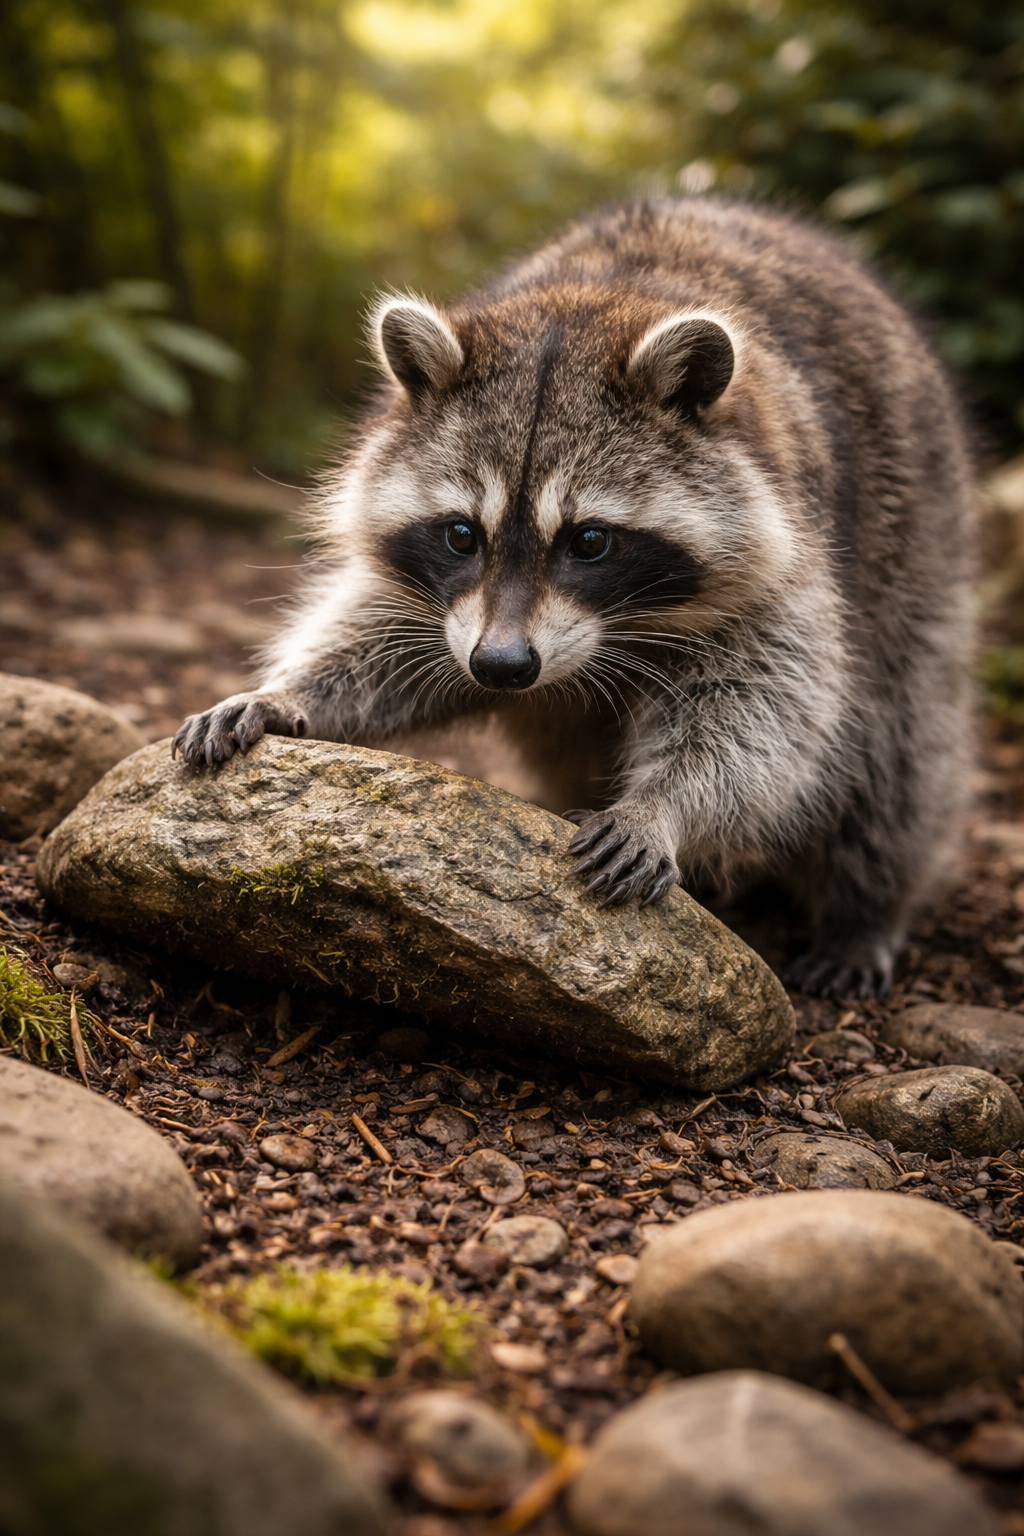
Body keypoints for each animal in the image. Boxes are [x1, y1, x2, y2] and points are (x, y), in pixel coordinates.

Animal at [174, 197, 973, 1000]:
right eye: (461, 533)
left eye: (589, 541)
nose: (501, 667)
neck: (589, 301)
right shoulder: (441, 600)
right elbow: (385, 640)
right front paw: (288, 691)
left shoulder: (793, 554)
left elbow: (763, 708)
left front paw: (665, 806)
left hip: (917, 541)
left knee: (895, 752)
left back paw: (864, 909)